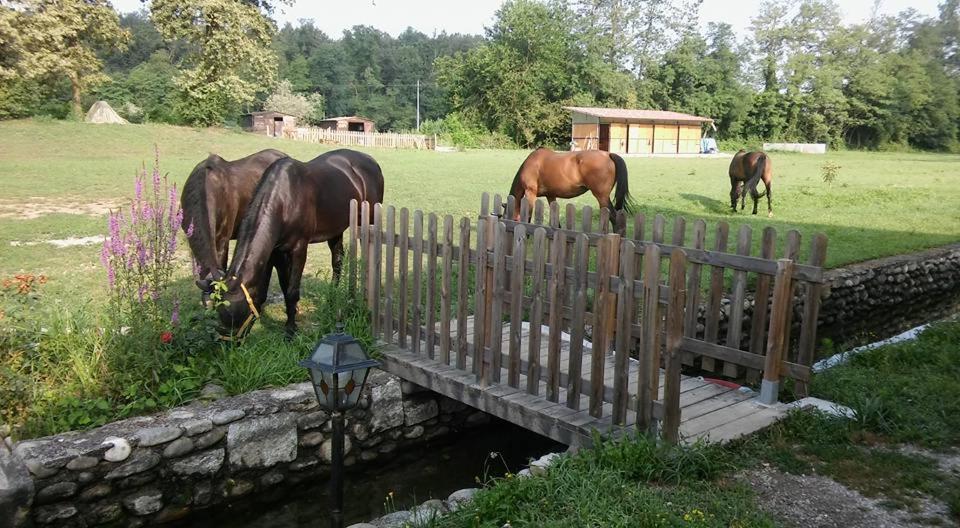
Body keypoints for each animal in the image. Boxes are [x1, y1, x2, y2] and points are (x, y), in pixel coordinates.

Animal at [216, 151, 384, 336]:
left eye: (235, 316)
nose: (227, 341)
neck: (285, 198)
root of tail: (371, 161)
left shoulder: (299, 249)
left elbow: (292, 291)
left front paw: (290, 330)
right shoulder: (275, 253)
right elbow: (276, 287)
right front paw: (292, 317)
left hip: (368, 222)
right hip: (335, 229)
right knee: (338, 260)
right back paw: (331, 298)